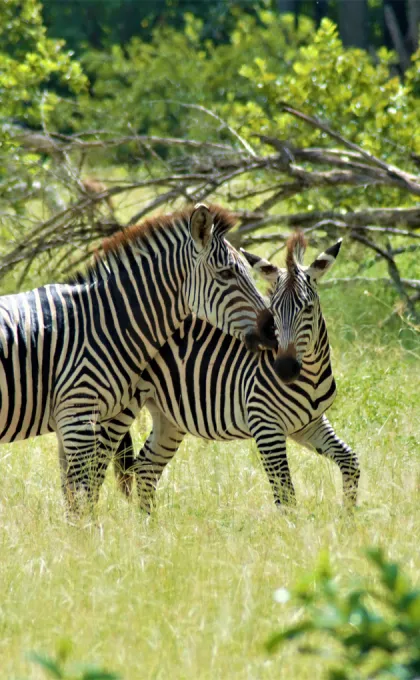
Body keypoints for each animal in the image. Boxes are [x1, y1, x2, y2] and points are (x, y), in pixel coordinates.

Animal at [0, 205, 276, 512]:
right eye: (226, 273)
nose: (273, 330)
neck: (103, 322)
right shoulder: (78, 416)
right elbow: (82, 499)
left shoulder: (71, 420)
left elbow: (75, 497)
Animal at [115, 234, 360, 510]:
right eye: (273, 309)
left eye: (308, 308)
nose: (284, 370)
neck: (312, 377)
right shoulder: (266, 426)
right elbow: (286, 496)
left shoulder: (308, 424)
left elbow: (350, 461)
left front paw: (347, 516)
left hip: (168, 414)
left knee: (146, 466)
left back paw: (149, 521)